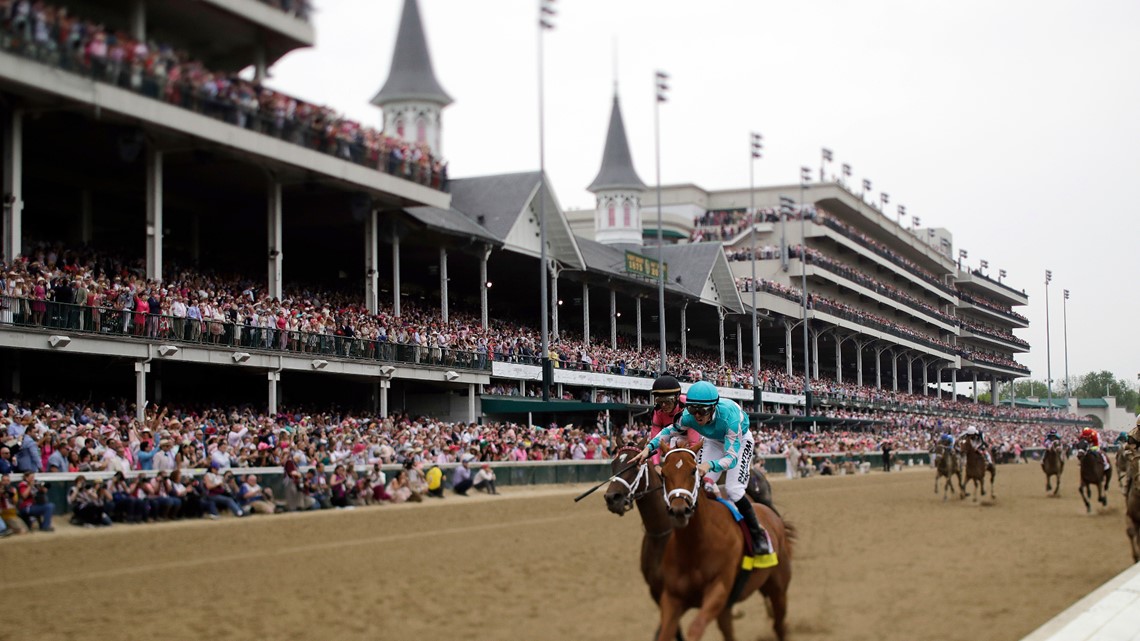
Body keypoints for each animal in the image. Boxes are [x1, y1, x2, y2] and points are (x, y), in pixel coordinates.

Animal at [656, 442, 798, 638]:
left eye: (693, 471)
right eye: (663, 473)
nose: (679, 511)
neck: (695, 545)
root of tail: (773, 517)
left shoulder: (719, 591)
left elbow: (696, 628)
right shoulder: (673, 598)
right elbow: (665, 632)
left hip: (778, 588)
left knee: (779, 625)